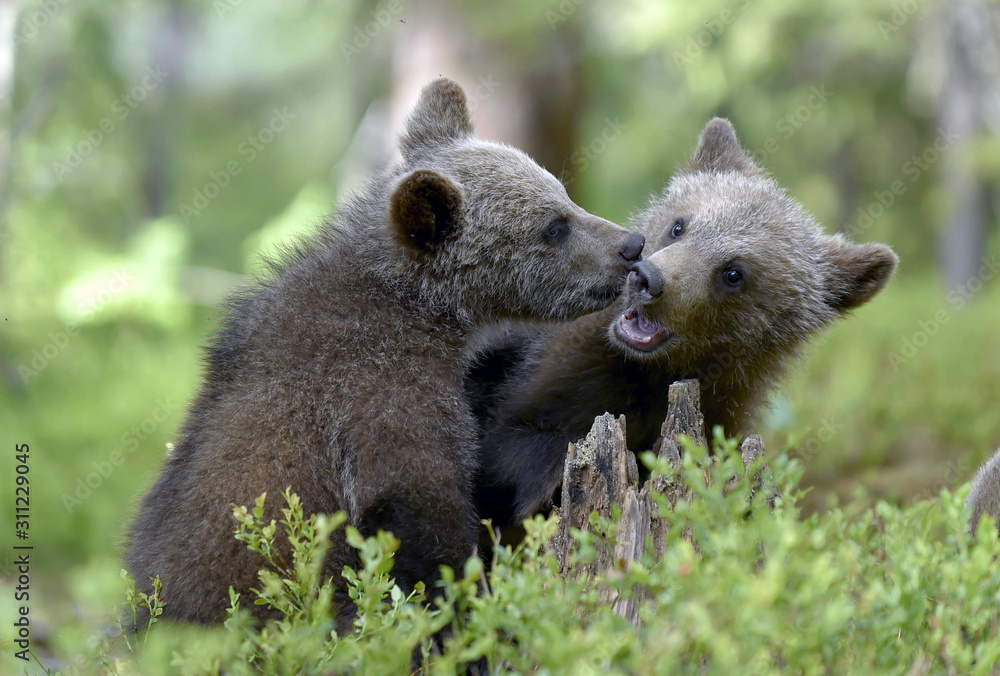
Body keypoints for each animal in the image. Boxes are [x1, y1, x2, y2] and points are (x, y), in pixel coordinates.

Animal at [125, 78, 645, 626]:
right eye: (553, 225)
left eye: (562, 192)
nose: (630, 244)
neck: (422, 310)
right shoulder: (376, 393)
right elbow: (418, 510)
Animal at [468, 118, 899, 528]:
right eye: (680, 225)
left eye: (734, 272)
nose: (648, 279)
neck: (654, 374)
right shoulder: (547, 376)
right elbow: (506, 446)